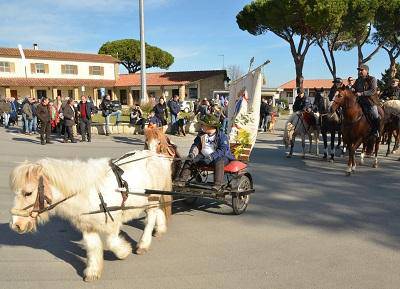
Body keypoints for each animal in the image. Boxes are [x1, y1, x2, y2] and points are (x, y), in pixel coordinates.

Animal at [8, 151, 173, 282]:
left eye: (28, 193)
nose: (15, 224)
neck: (89, 191)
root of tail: (156, 154)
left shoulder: (113, 221)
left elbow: (112, 242)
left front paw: (124, 252)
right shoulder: (88, 226)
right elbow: (93, 247)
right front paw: (93, 271)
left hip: (152, 197)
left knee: (151, 218)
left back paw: (143, 244)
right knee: (159, 211)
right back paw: (160, 229)